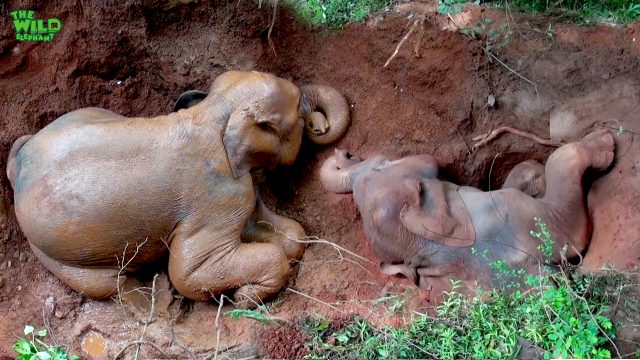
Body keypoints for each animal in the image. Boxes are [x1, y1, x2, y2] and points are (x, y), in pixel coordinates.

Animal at [5, 69, 350, 306]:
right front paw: (242, 297)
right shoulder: (217, 196)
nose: (320, 125)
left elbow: (289, 234)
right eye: (298, 106)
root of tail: (18, 162)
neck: (214, 111)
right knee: (105, 283)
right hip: (53, 248)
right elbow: (186, 273)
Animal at [320, 129, 616, 298]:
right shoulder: (514, 213)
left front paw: (535, 174)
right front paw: (605, 141)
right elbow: (569, 224)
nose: (346, 152)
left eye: (381, 163)